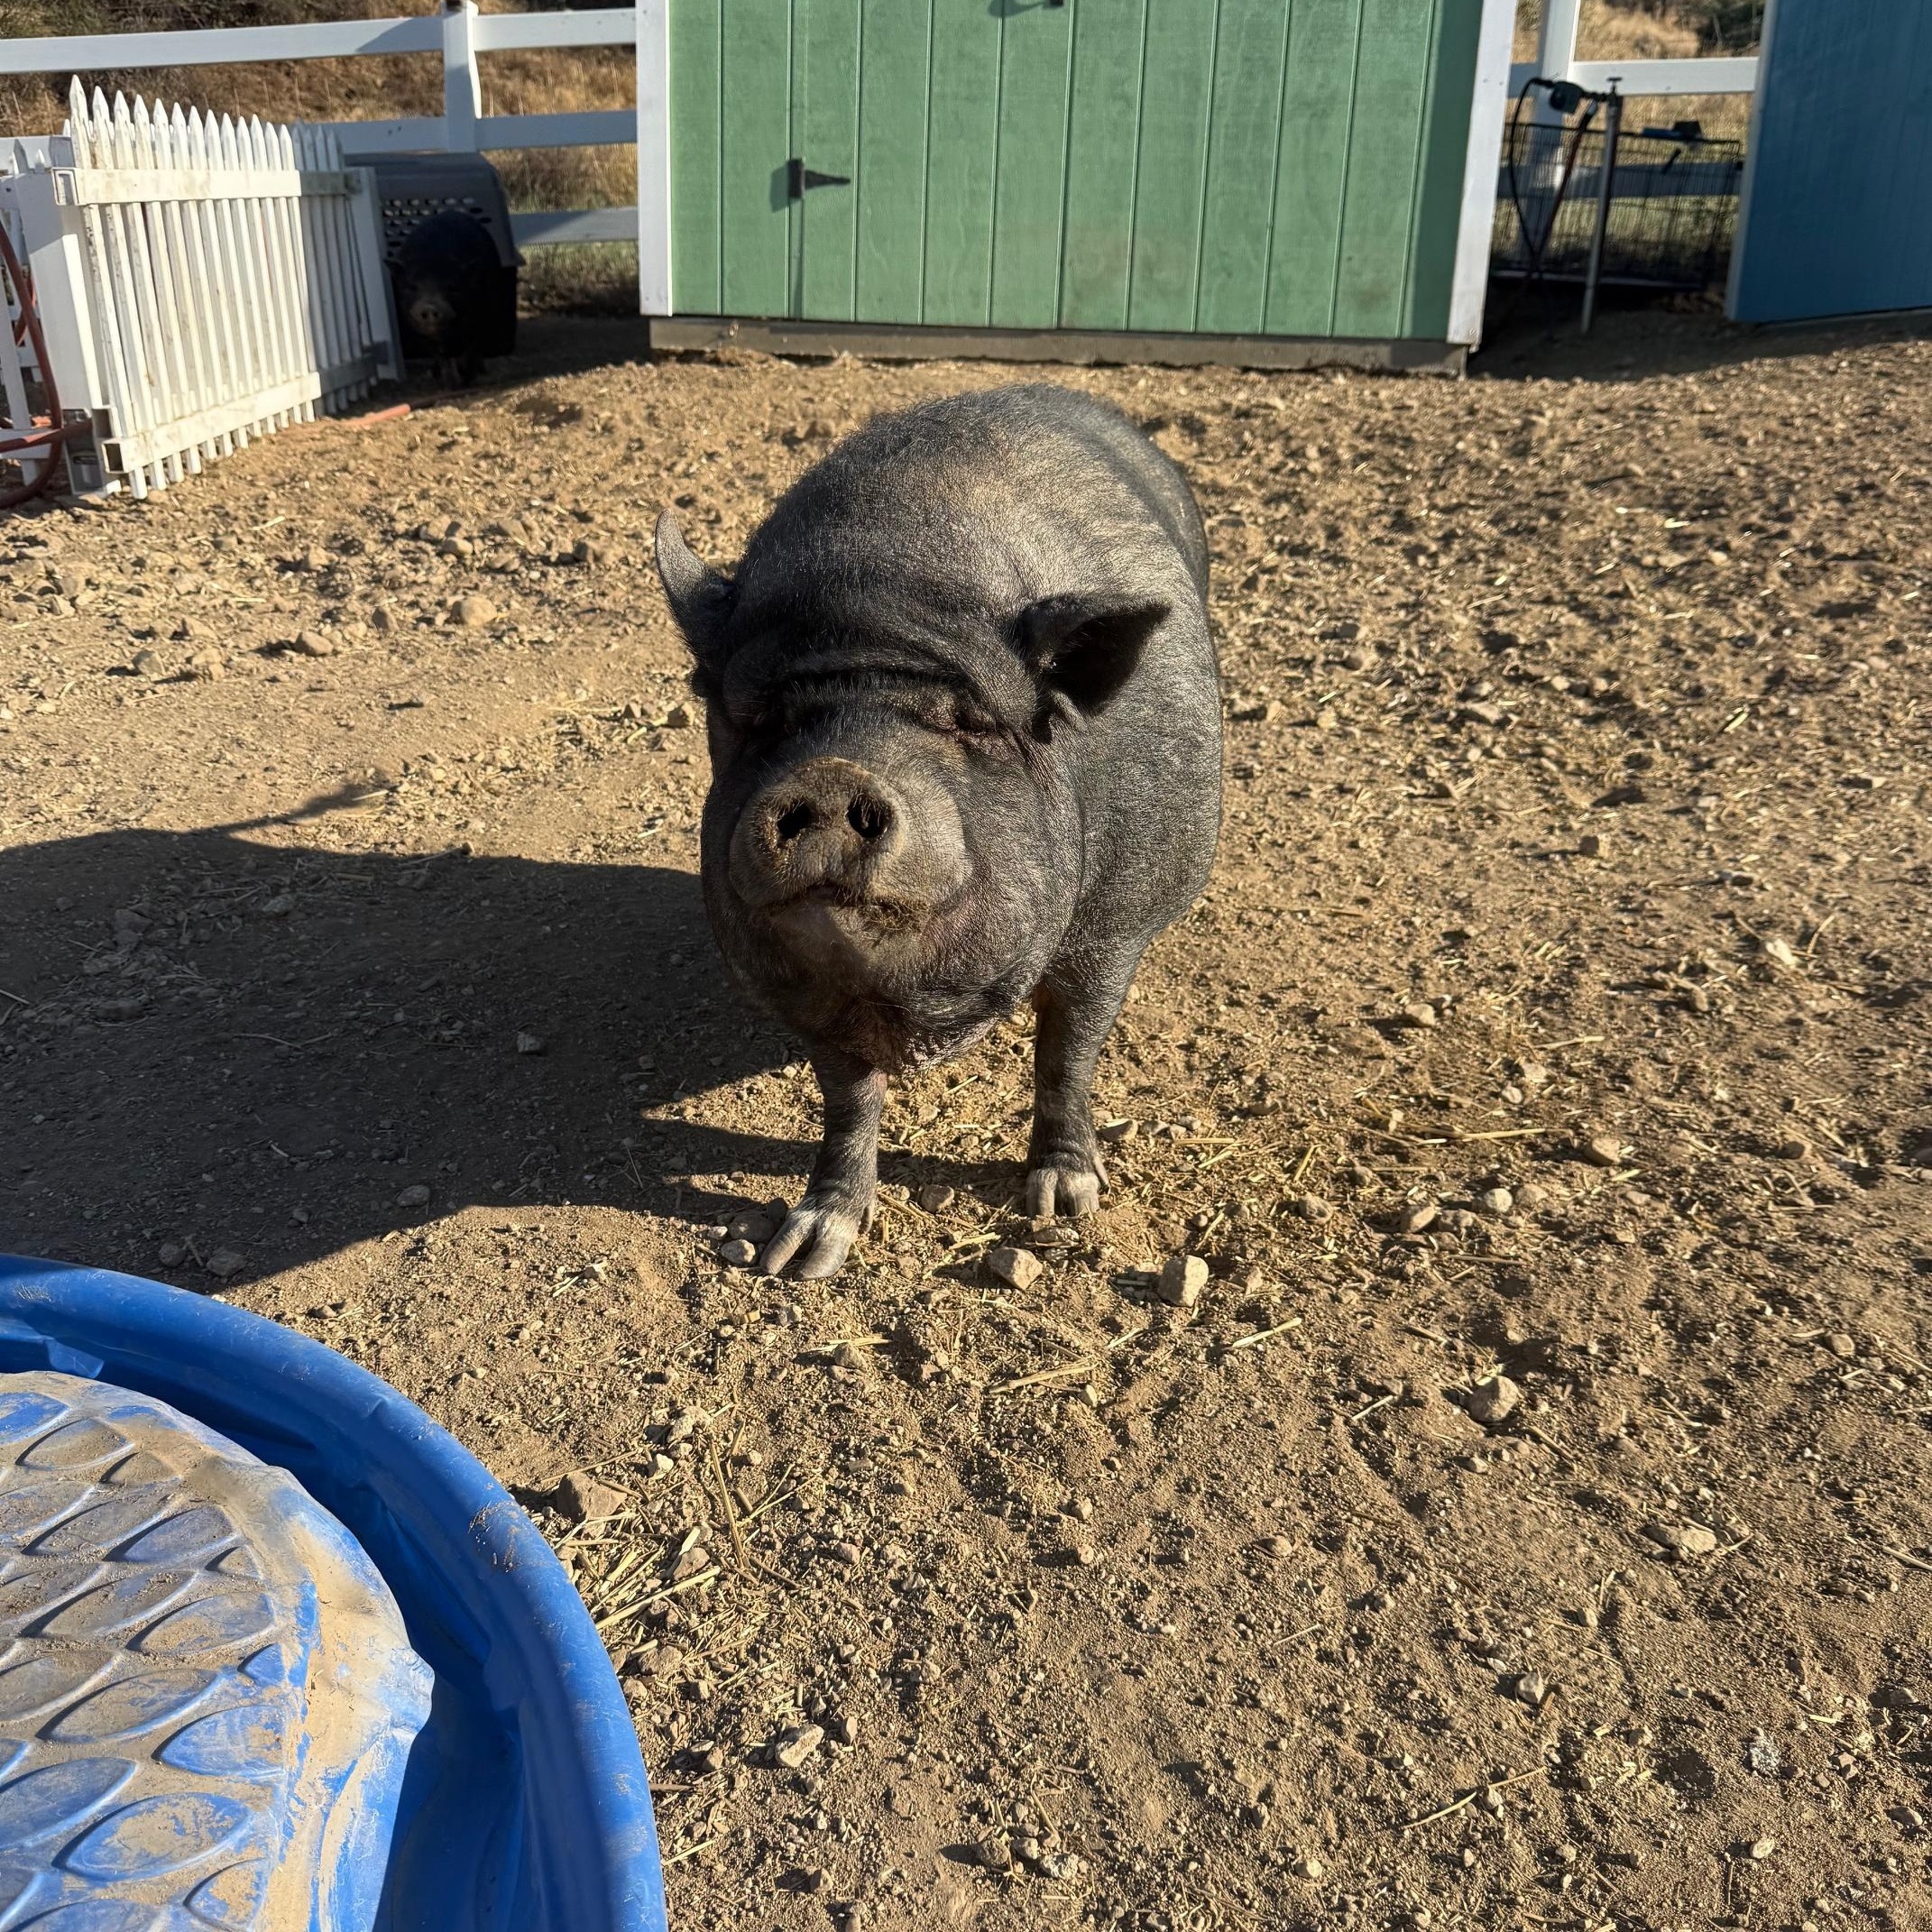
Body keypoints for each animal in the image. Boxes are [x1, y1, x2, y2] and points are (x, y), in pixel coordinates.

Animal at [654, 385, 1221, 1277]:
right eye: (761, 721)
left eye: (971, 722)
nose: (831, 774)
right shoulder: (813, 998)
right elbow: (848, 1102)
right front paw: (801, 1257)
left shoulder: (1115, 923)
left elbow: (1069, 1053)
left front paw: (1064, 1205)